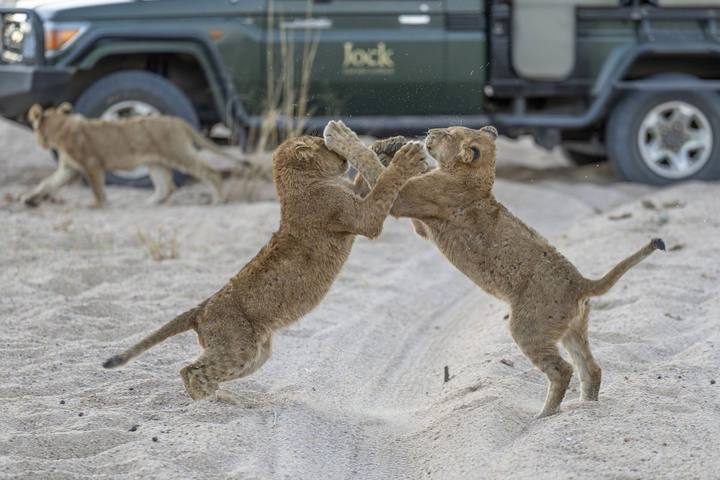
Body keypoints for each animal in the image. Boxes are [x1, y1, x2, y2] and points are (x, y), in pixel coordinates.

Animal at [22, 103, 232, 207]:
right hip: (155, 162)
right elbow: (47, 183)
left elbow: (97, 188)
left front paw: (98, 204)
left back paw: (218, 200)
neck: (61, 129)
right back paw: (149, 203)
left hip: (178, 153)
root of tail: (178, 121)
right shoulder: (69, 169)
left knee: (210, 172)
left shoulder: (92, 164)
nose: (39, 142)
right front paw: (29, 199)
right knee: (166, 187)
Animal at [102, 135, 427, 402]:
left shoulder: (354, 197)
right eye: (326, 147)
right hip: (238, 348)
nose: (340, 155)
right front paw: (405, 158)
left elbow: (364, 179)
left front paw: (384, 146)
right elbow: (384, 185)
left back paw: (224, 397)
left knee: (206, 369)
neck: (300, 182)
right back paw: (213, 403)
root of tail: (201, 309)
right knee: (189, 370)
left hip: (256, 355)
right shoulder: (361, 217)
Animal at [325, 121, 665, 418]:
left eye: (449, 133)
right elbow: (397, 172)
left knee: (563, 370)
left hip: (528, 327)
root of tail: (581, 282)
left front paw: (343, 136)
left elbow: (374, 167)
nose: (431, 131)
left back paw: (545, 415)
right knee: (592, 368)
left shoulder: (409, 199)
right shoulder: (421, 220)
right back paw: (584, 407)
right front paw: (392, 146)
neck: (475, 178)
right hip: (573, 330)